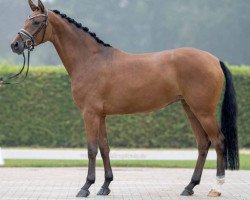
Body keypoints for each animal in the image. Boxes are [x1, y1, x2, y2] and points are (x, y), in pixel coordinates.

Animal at [10, 0, 239, 197]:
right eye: (26, 20)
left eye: (37, 22)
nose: (15, 45)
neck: (90, 60)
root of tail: (214, 60)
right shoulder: (100, 115)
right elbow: (104, 148)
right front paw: (105, 185)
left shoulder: (90, 114)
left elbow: (92, 149)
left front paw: (86, 187)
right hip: (190, 108)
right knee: (203, 144)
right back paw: (189, 186)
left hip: (203, 111)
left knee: (218, 141)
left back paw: (216, 187)